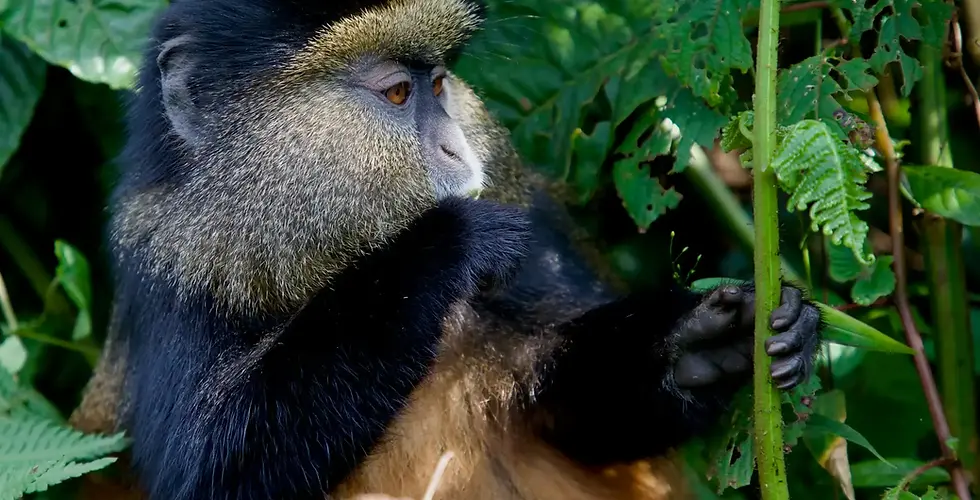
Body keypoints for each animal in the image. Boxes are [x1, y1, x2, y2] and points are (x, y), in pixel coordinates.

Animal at [68, 1, 824, 499]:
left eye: (437, 83)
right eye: (399, 92)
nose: (458, 148)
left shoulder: (533, 224)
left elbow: (578, 417)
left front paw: (703, 343)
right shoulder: (173, 274)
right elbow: (211, 473)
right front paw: (447, 243)